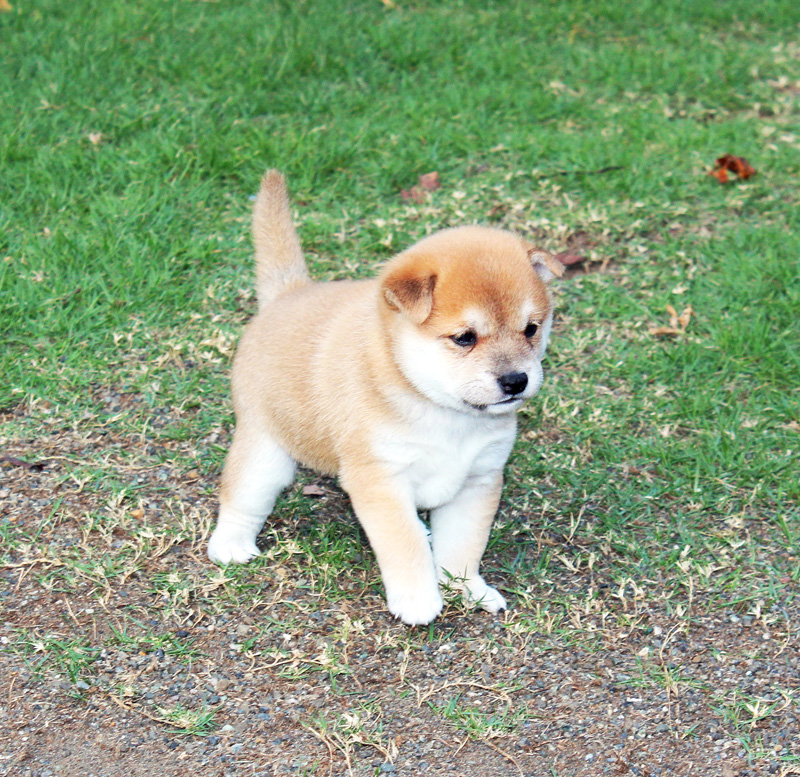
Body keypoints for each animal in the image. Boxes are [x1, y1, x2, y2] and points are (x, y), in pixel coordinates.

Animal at [209, 170, 564, 624]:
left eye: (531, 329)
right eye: (464, 337)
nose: (516, 380)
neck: (442, 413)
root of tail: (287, 294)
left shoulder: (479, 479)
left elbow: (463, 546)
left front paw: (467, 588)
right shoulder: (380, 478)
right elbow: (404, 543)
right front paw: (418, 598)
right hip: (263, 450)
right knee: (241, 497)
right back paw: (230, 545)